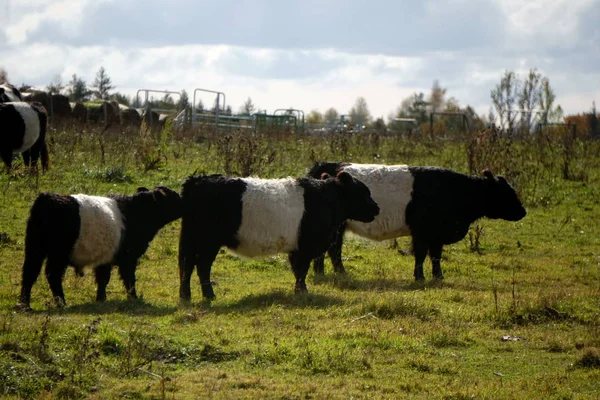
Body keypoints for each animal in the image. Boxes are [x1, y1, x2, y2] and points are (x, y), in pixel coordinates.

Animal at [19, 185, 183, 310]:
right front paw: (134, 298)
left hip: (34, 249)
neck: (136, 211)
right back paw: (61, 302)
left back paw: (24, 304)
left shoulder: (105, 259)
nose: (184, 203)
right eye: (173, 197)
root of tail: (46, 198)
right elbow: (129, 279)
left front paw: (101, 299)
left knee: (29, 272)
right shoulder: (128, 259)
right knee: (52, 274)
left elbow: (103, 279)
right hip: (58, 254)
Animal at [176, 172, 380, 300]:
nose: (377, 208)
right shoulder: (305, 247)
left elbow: (298, 271)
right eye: (364, 192)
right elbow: (302, 271)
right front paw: (302, 293)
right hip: (207, 241)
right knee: (200, 266)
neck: (326, 201)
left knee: (189, 266)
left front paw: (300, 292)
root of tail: (196, 180)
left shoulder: (297, 249)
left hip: (195, 239)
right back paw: (208, 295)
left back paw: (187, 296)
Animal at [310, 162, 524, 282]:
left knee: (332, 250)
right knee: (332, 250)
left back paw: (329, 273)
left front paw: (438, 277)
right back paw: (330, 273)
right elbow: (421, 255)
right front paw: (419, 277)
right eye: (507, 193)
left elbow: (436, 256)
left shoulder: (437, 235)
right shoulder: (422, 231)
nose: (523, 211)